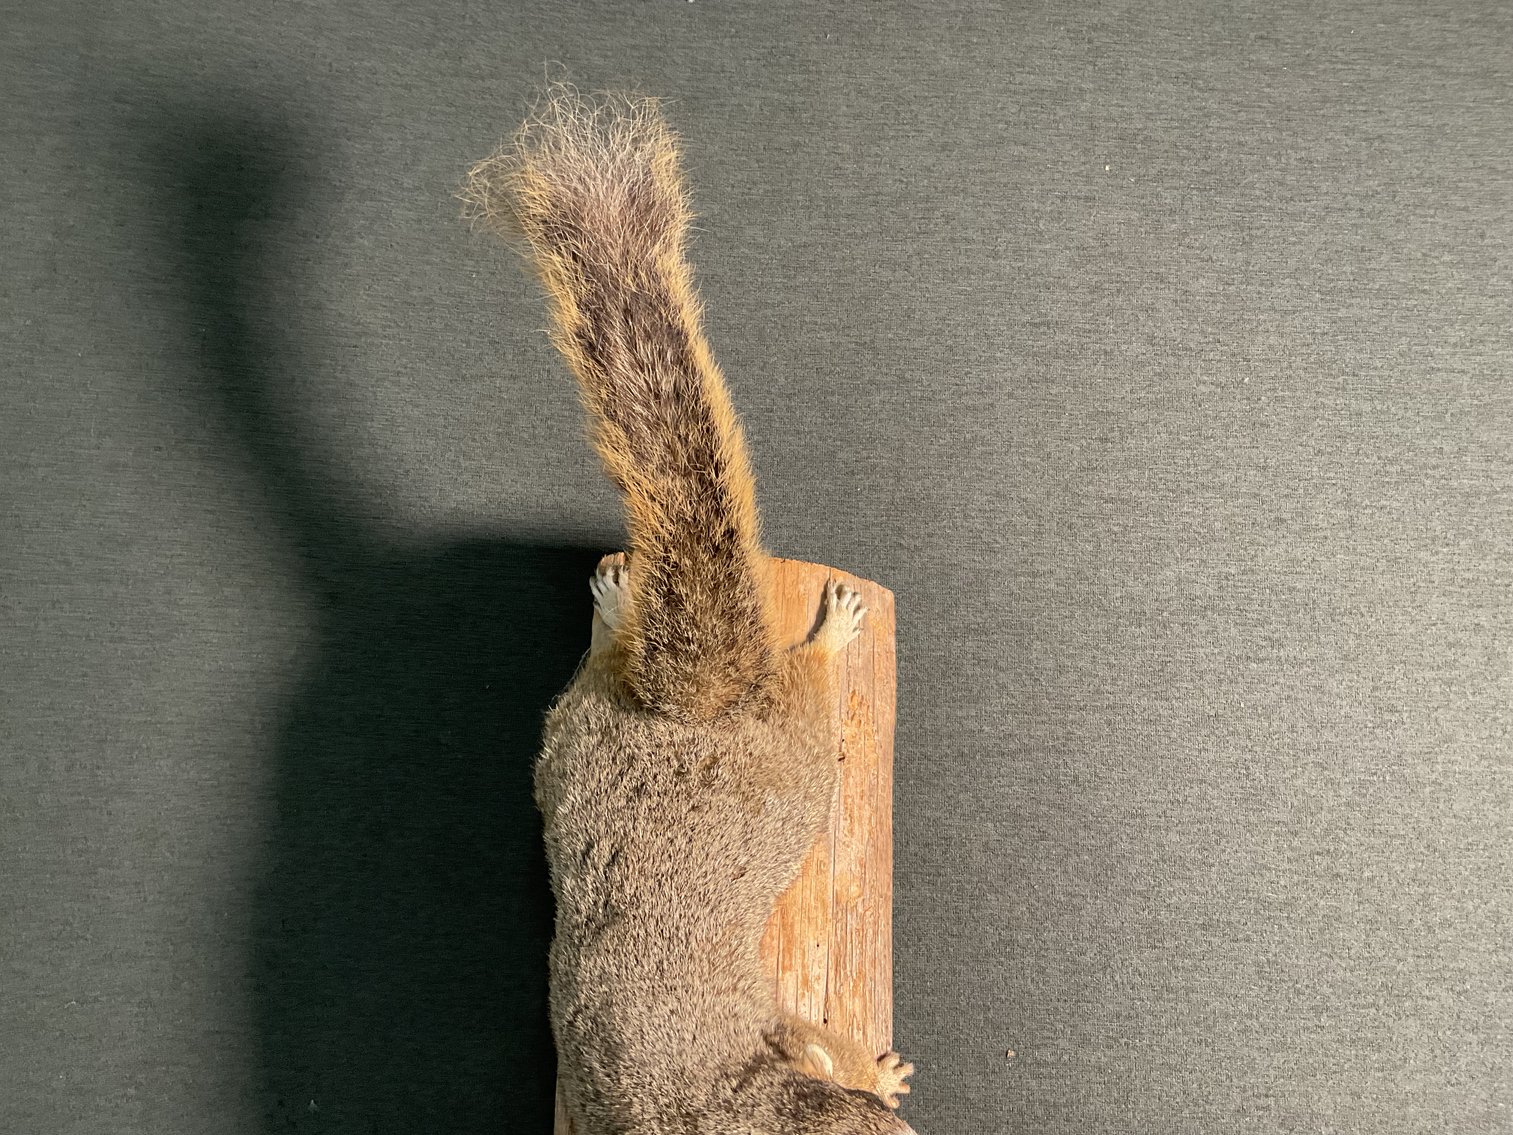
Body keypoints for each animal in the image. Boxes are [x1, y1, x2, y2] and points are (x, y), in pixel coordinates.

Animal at [462, 86, 917, 1135]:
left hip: (575, 747)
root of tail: (688, 705)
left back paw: (614, 609)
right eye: (881, 1132)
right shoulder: (782, 1039)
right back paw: (821, 637)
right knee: (799, 685)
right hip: (792, 752)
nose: (904, 1114)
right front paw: (878, 1068)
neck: (738, 1109)